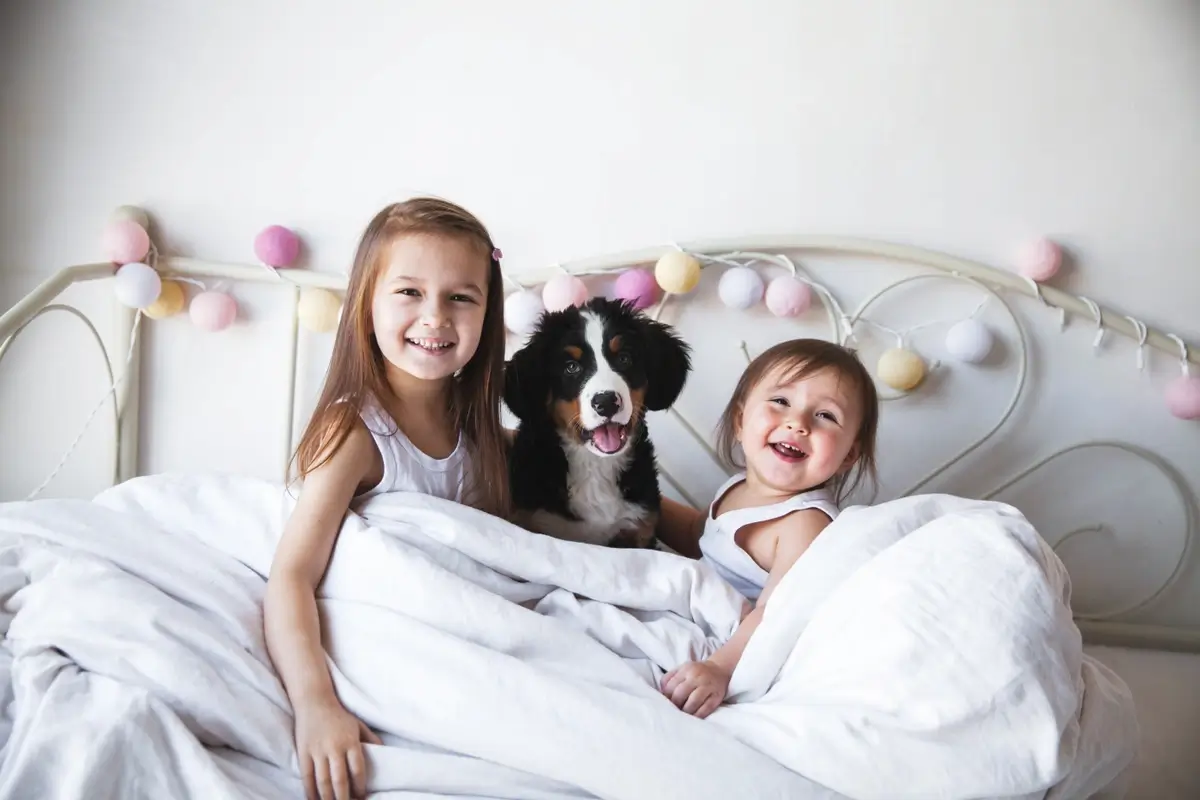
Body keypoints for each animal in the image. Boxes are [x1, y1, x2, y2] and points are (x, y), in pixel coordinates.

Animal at [506, 297, 696, 546]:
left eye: (624, 358)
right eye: (571, 367)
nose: (606, 402)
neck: (595, 466)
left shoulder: (640, 529)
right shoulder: (536, 521)